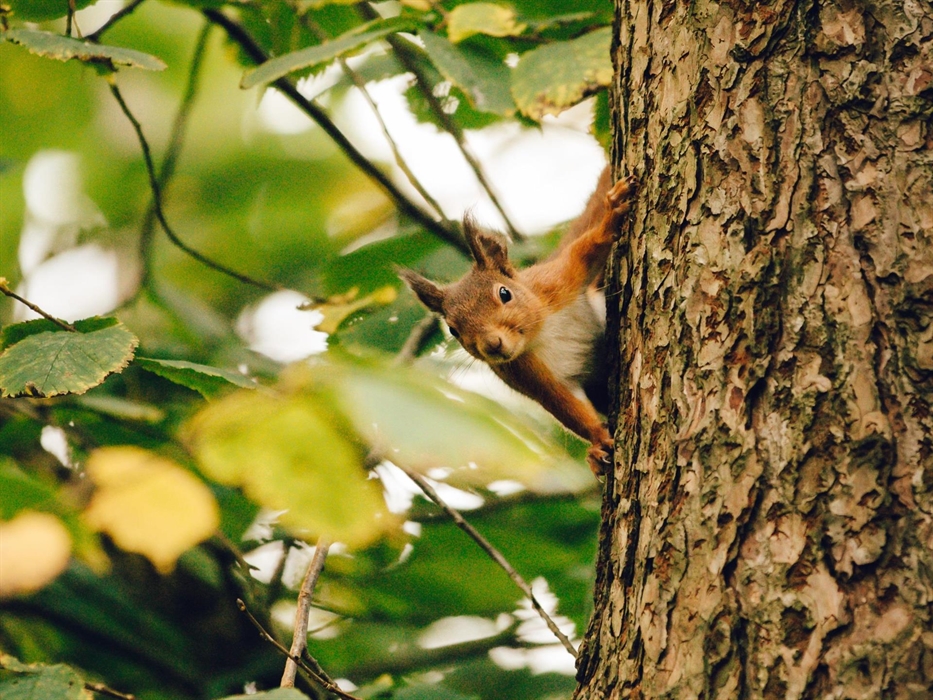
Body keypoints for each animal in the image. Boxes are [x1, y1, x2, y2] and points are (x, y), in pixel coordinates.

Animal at [399, 168, 634, 475]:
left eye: (504, 293)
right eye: (453, 329)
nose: (492, 344)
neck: (541, 332)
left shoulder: (557, 281)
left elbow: (586, 250)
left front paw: (611, 216)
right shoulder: (527, 374)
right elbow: (565, 405)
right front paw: (598, 442)